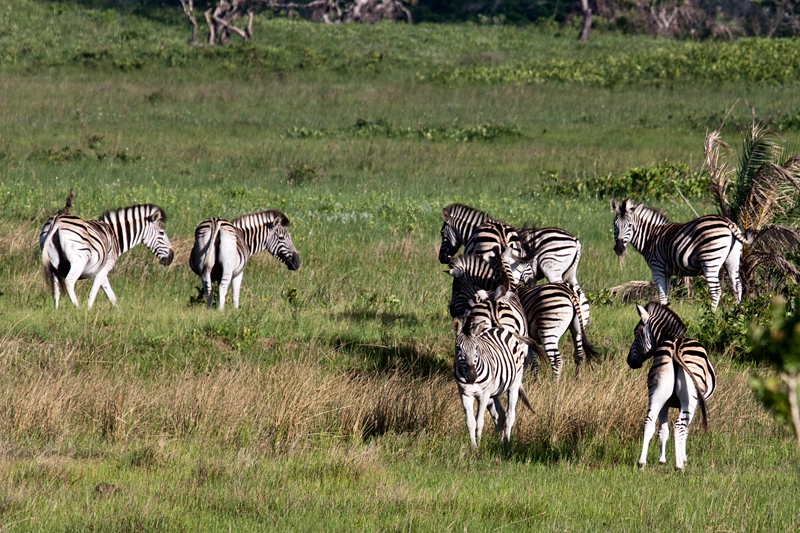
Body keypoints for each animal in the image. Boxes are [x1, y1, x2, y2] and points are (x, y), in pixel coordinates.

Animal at [39, 205, 174, 312]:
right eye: (162, 233)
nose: (171, 257)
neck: (115, 236)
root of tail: (57, 220)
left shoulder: (100, 268)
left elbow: (110, 294)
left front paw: (119, 313)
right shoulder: (107, 265)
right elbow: (94, 291)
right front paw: (87, 312)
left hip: (53, 263)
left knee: (55, 288)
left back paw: (56, 311)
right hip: (79, 261)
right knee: (69, 281)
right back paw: (77, 308)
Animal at [454, 314, 536, 446]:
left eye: (476, 347)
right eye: (458, 348)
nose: (471, 377)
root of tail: (501, 329)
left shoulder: (484, 394)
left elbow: (479, 422)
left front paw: (479, 446)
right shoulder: (465, 394)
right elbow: (471, 423)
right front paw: (473, 447)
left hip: (513, 385)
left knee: (509, 415)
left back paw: (507, 442)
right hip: (493, 394)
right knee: (500, 416)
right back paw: (501, 444)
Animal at [612, 197, 752, 310]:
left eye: (630, 225)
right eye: (615, 225)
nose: (619, 249)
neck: (650, 237)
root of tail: (727, 222)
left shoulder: (657, 268)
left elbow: (661, 295)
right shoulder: (667, 272)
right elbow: (665, 296)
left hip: (710, 260)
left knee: (716, 291)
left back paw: (712, 315)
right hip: (732, 260)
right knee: (737, 286)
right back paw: (737, 312)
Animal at [628, 300, 716, 470]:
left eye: (636, 334)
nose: (629, 361)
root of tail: (676, 346)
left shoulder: (666, 403)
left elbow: (663, 430)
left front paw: (661, 460)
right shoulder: (693, 403)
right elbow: (685, 430)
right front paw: (683, 458)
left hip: (658, 391)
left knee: (649, 422)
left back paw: (641, 463)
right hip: (690, 398)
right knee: (679, 426)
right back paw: (679, 466)